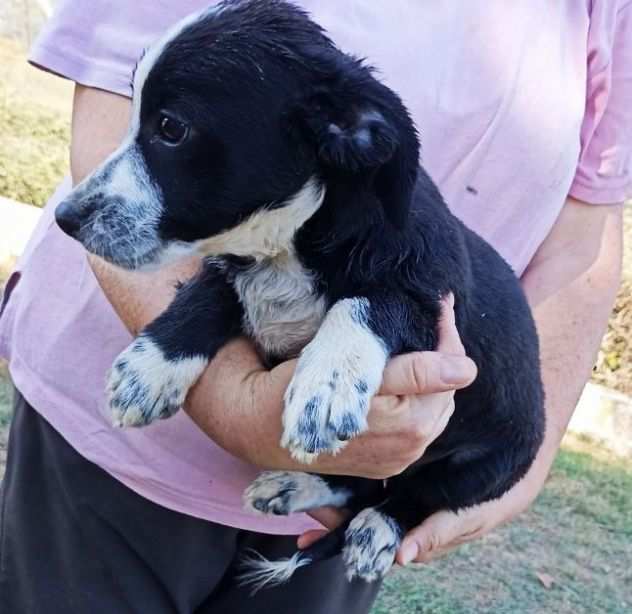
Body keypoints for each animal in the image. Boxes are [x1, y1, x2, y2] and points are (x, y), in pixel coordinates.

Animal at [55, 1, 544, 592]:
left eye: (170, 129)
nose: (65, 218)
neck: (286, 245)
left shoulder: (434, 301)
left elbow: (368, 303)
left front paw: (327, 384)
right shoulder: (235, 264)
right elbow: (210, 291)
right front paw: (149, 369)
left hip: (486, 466)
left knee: (410, 496)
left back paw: (376, 529)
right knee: (359, 482)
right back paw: (293, 487)